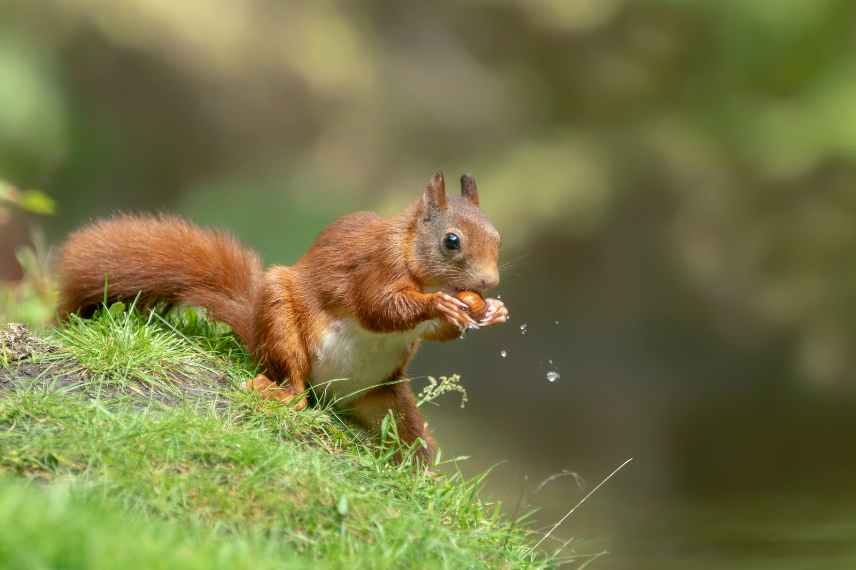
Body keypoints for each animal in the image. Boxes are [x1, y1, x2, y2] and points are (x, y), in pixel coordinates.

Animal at [56, 171, 508, 460]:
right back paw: (280, 392)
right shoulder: (375, 267)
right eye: (452, 241)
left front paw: (491, 312)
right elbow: (379, 308)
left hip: (389, 400)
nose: (490, 281)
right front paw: (440, 304)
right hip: (283, 322)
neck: (414, 255)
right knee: (293, 381)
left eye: (498, 238)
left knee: (414, 444)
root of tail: (334, 395)